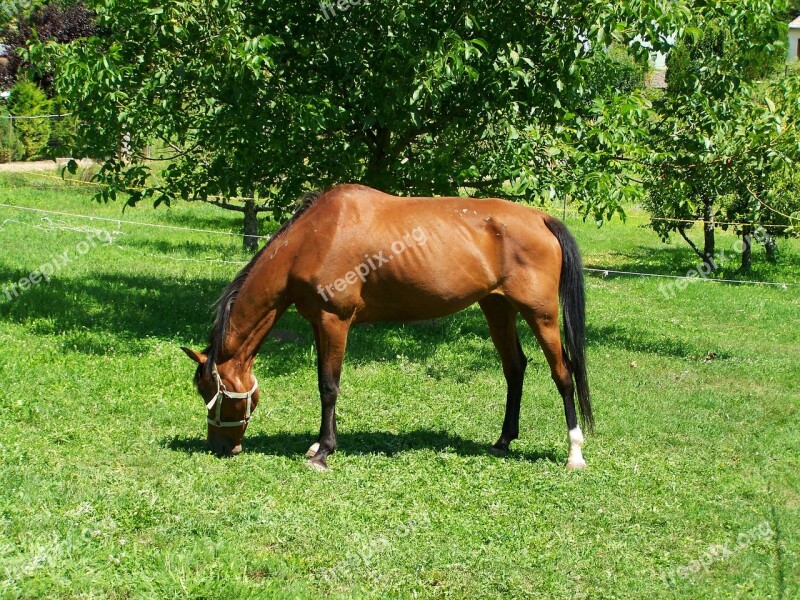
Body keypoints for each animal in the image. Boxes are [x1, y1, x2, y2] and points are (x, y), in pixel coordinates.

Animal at [183, 183, 592, 468]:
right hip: (497, 307)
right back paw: (503, 440)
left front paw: (323, 453)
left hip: (540, 313)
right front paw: (319, 442)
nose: (220, 447)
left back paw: (574, 453)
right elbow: (322, 382)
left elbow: (329, 386)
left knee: (563, 373)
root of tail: (540, 218)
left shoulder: (335, 320)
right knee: (514, 367)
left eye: (210, 393)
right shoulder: (318, 322)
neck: (316, 236)